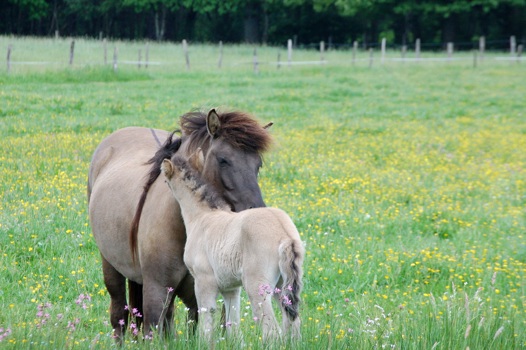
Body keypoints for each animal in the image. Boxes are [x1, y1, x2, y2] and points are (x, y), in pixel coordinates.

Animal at [86, 108, 272, 340]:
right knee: (119, 314)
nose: (257, 212)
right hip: (111, 266)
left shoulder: (198, 293)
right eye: (223, 160)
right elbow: (152, 329)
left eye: (258, 164)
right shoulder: (157, 290)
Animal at [164, 157, 306, 344]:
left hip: (257, 286)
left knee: (271, 330)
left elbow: (207, 313)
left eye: (165, 179)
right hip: (282, 286)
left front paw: (204, 343)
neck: (201, 217)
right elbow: (233, 322)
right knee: (293, 323)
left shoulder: (203, 279)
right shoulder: (230, 287)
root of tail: (285, 234)